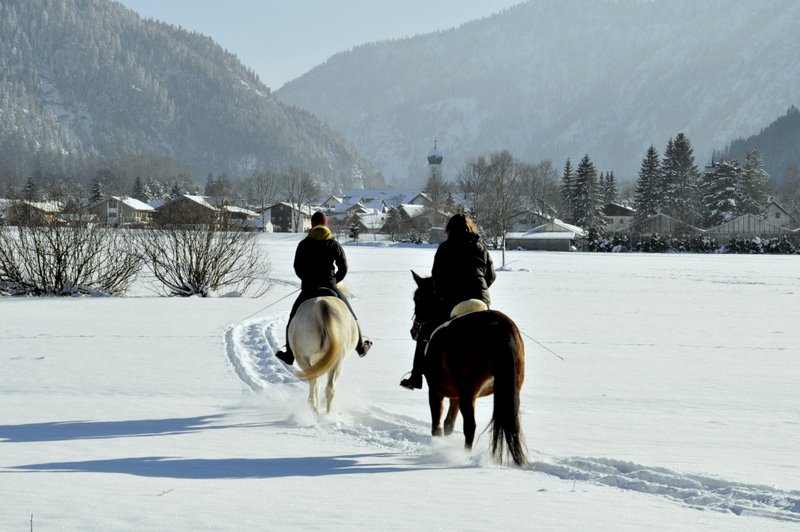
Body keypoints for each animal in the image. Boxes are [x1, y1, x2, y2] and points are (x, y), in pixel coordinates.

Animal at [410, 272, 528, 464]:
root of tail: (498, 325)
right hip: (510, 389)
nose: (414, 331)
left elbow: (437, 425)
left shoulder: (436, 392)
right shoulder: (455, 396)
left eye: (417, 298)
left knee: (470, 426)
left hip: (468, 392)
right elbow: (449, 424)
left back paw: (465, 457)